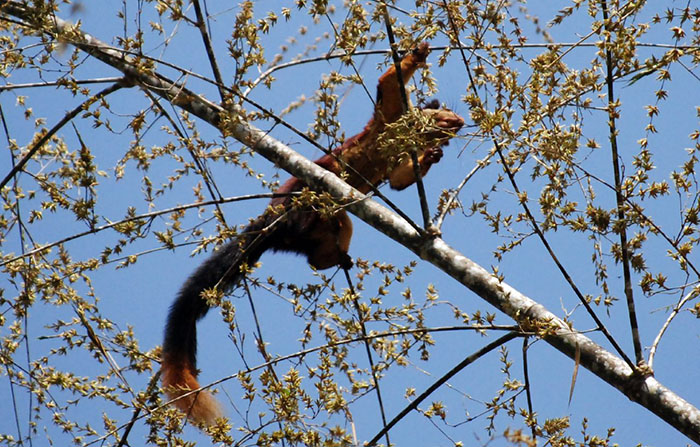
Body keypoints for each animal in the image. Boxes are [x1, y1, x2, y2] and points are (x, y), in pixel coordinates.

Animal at [161, 42, 465, 425]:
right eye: (445, 115)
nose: (462, 122)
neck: (404, 136)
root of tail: (275, 221)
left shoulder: (397, 161)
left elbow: (398, 180)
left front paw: (431, 156)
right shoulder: (387, 117)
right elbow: (389, 85)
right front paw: (419, 51)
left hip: (329, 228)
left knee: (318, 255)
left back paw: (335, 258)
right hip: (307, 193)